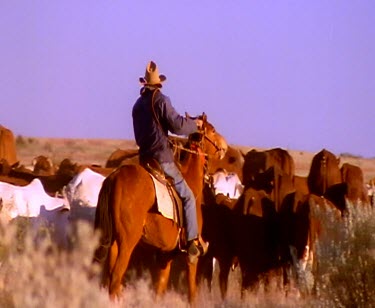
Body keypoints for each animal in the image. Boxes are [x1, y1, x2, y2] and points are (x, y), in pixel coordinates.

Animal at [94, 114, 229, 302]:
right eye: (213, 130)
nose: (225, 146)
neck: (191, 181)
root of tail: (114, 177)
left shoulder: (165, 255)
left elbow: (160, 288)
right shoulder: (191, 257)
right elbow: (192, 291)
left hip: (114, 243)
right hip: (127, 242)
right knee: (115, 279)